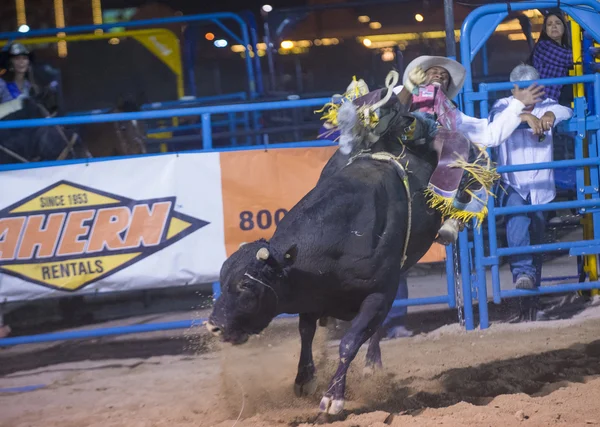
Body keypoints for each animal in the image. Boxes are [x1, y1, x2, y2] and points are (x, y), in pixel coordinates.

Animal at [206, 118, 446, 416]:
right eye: (223, 278)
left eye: (247, 284)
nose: (213, 326)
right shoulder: (312, 294)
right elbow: (306, 333)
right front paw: (304, 379)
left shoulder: (379, 295)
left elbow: (349, 342)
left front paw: (333, 397)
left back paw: (372, 364)